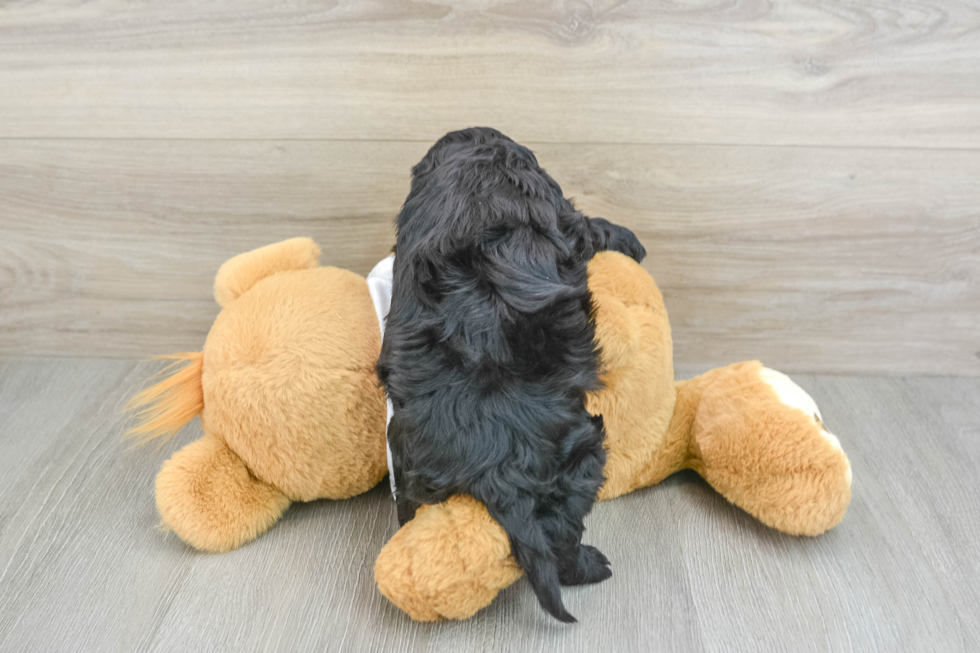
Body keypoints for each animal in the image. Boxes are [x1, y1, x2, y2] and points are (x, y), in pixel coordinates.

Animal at [378, 127, 648, 620]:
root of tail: (493, 468)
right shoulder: (563, 216)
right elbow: (589, 225)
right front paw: (628, 238)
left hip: (407, 462)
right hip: (581, 455)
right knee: (561, 539)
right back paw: (592, 566)